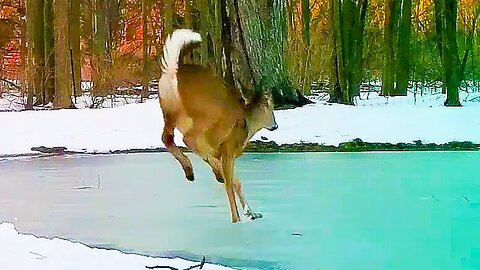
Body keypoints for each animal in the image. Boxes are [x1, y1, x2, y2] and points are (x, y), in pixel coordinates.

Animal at [158, 29, 278, 224]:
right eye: (271, 108)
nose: (275, 125)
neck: (247, 124)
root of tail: (172, 71)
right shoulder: (228, 149)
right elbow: (231, 183)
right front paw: (237, 218)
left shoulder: (226, 152)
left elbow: (236, 181)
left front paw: (252, 213)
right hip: (207, 114)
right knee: (189, 139)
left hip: (169, 112)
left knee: (168, 138)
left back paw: (192, 171)